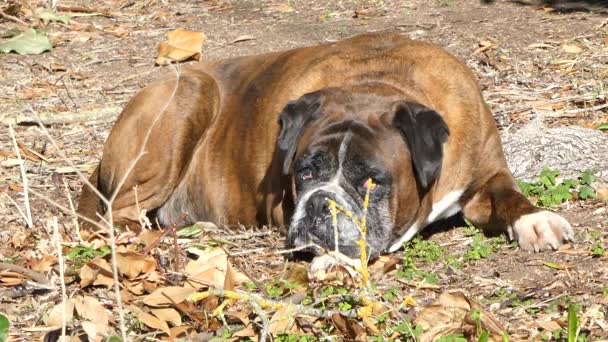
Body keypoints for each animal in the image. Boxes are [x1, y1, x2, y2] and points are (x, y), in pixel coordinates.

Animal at [79, 32, 576, 262]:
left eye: (373, 181)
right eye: (304, 173)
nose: (321, 204)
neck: (380, 84)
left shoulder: (486, 175)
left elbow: (509, 196)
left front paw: (536, 220)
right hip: (188, 95)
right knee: (119, 215)